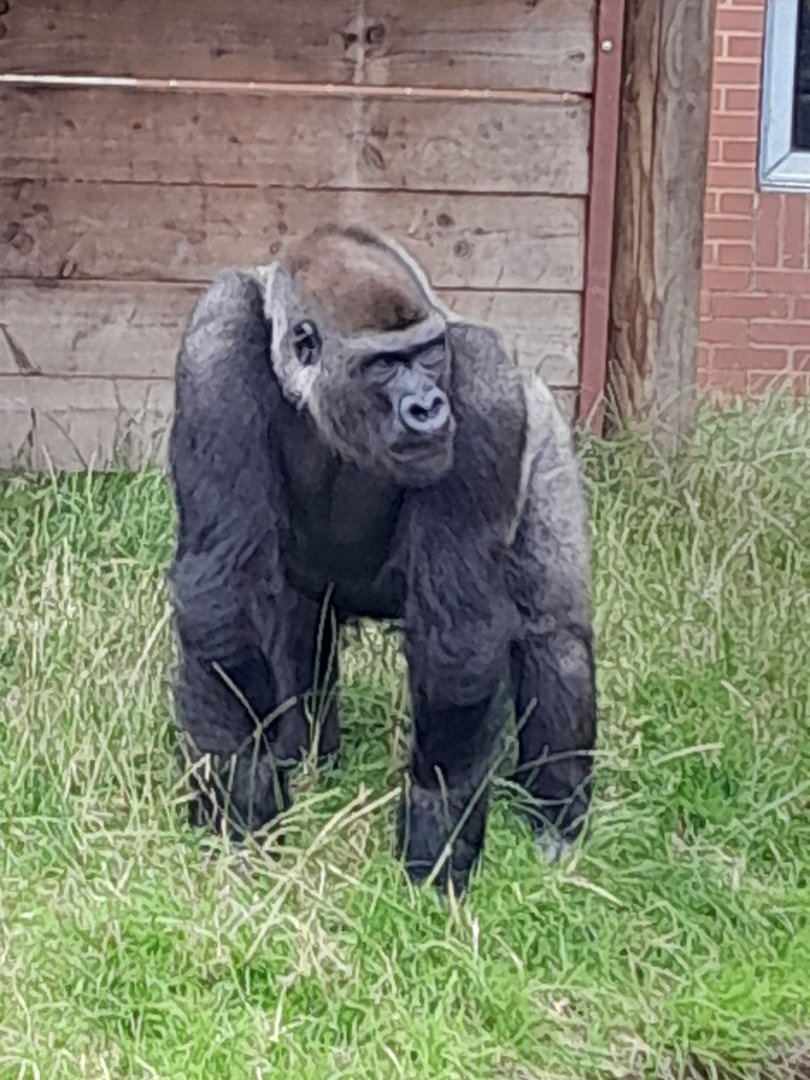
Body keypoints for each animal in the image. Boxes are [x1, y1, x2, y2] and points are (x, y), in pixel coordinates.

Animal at [167, 224, 596, 893]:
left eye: (427, 355)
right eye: (385, 364)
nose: (428, 407)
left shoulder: (487, 387)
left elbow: (459, 629)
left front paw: (437, 822)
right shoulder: (216, 339)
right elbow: (226, 584)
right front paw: (242, 799)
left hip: (546, 426)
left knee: (554, 633)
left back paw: (555, 816)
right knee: (295, 623)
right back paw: (304, 757)